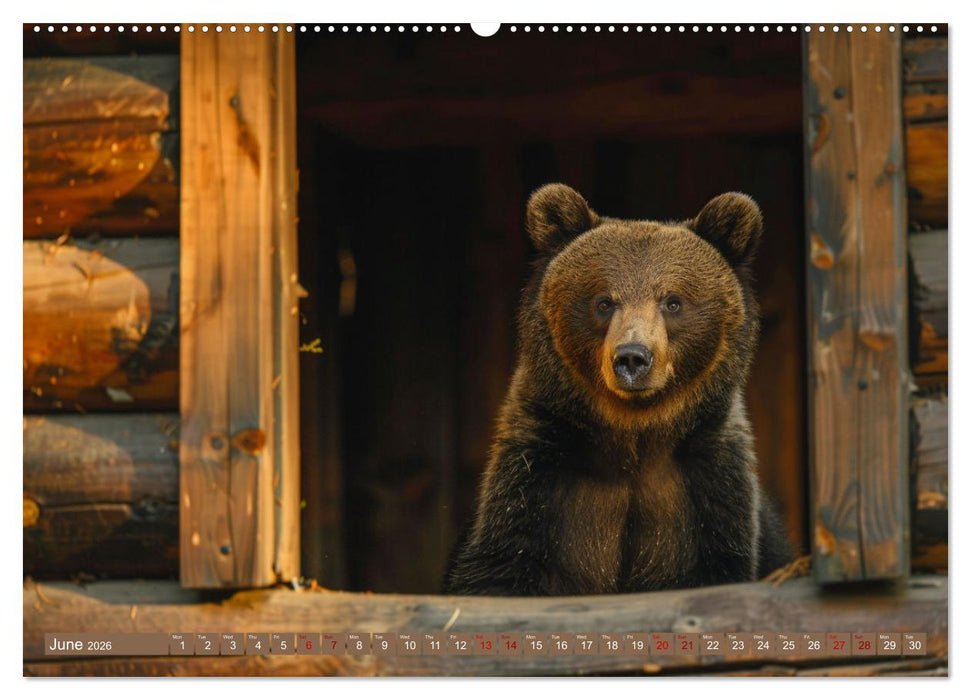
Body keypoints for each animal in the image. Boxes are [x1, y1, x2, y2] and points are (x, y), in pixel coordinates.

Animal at [442, 183, 793, 596]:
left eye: (672, 301)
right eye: (604, 301)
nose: (632, 358)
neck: (632, 434)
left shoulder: (708, 485)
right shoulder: (536, 471)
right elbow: (501, 564)